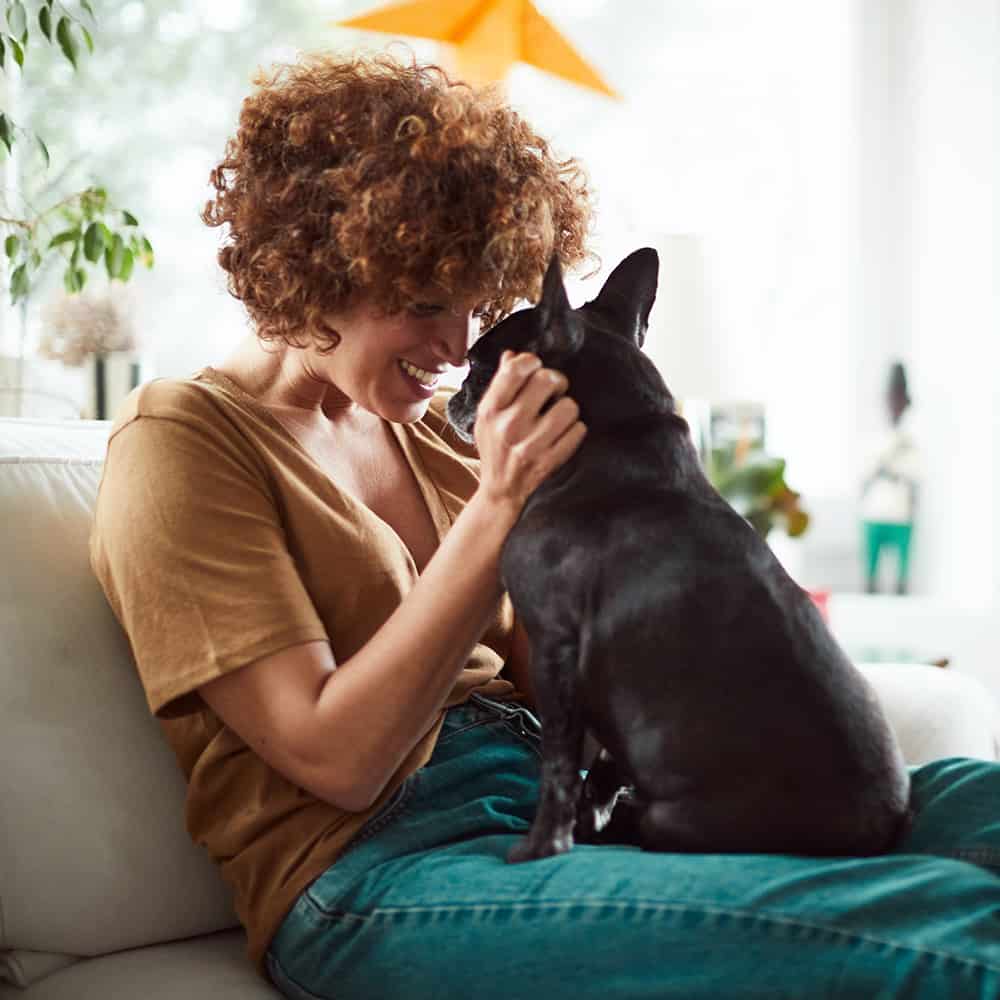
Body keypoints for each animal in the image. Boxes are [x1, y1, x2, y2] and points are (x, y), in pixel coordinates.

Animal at [450, 248, 912, 860]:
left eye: (478, 365)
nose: (456, 394)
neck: (613, 438)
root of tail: (883, 831)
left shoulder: (555, 648)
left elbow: (559, 762)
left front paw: (543, 843)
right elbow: (602, 765)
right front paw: (588, 820)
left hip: (678, 819)